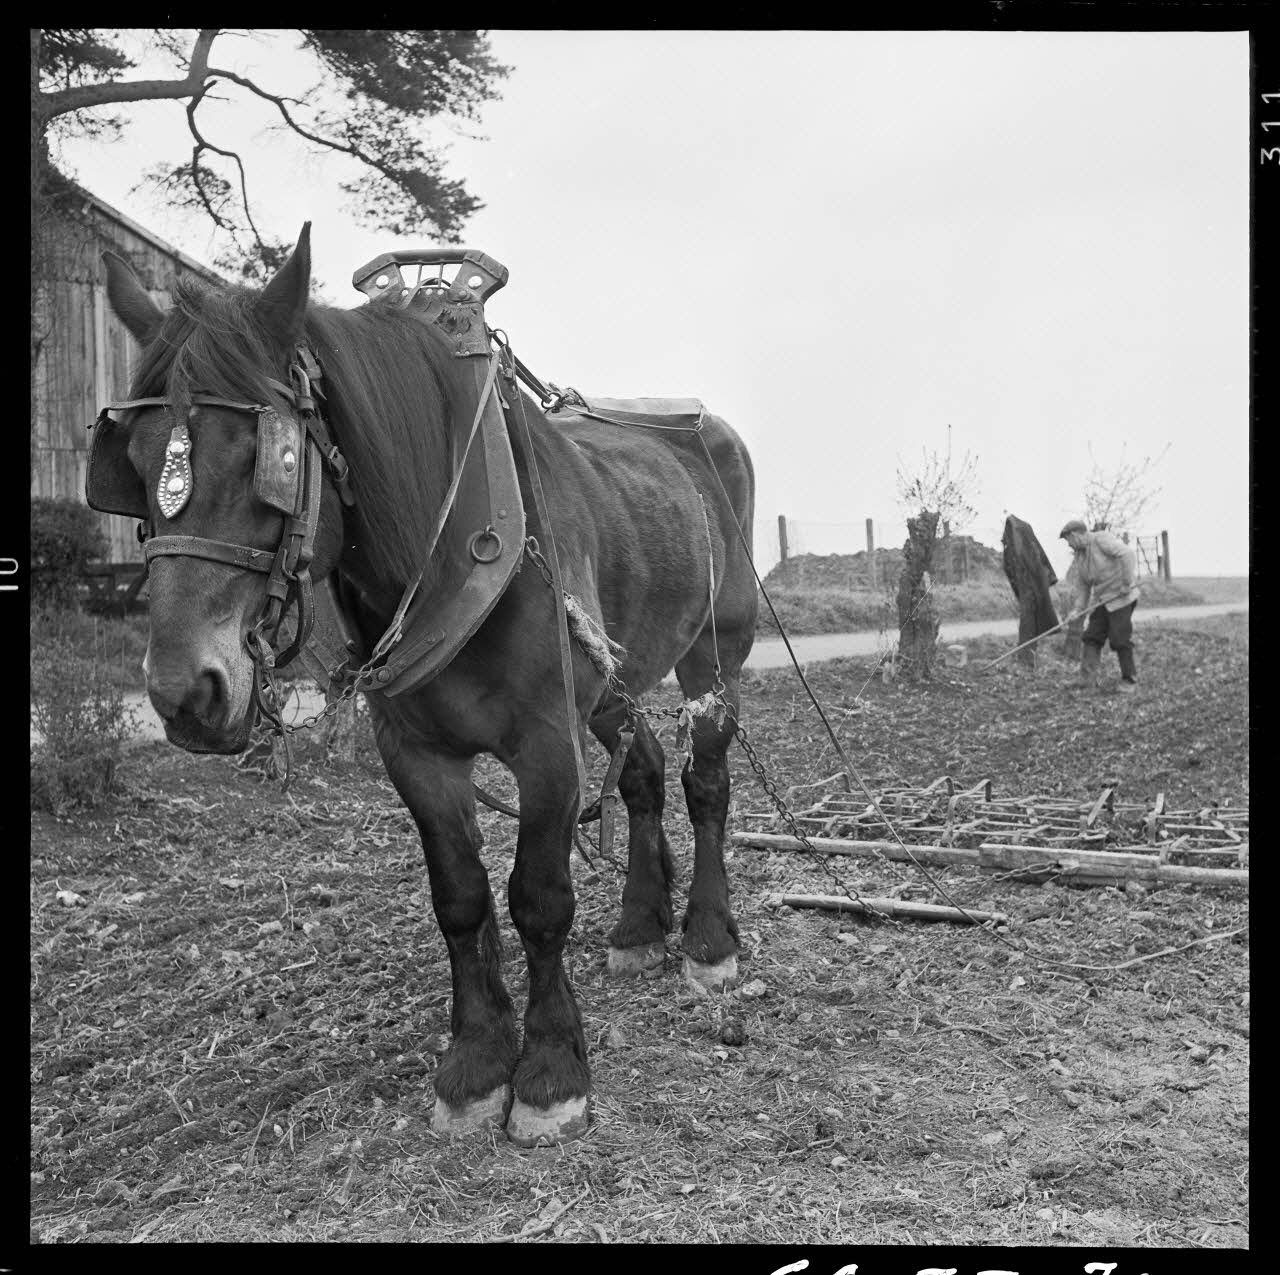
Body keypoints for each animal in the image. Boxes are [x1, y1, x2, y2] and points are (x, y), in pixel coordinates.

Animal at [94, 225, 758, 1147]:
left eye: (269, 459)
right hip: (608, 678)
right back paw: (638, 922)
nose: (185, 692)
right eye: (130, 463)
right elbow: (461, 899)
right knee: (644, 770)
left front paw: (550, 1072)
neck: (444, 541)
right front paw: (476, 1061)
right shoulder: (416, 755)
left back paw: (707, 939)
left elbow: (538, 899)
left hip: (716, 653)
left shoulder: (546, 744)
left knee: (705, 780)